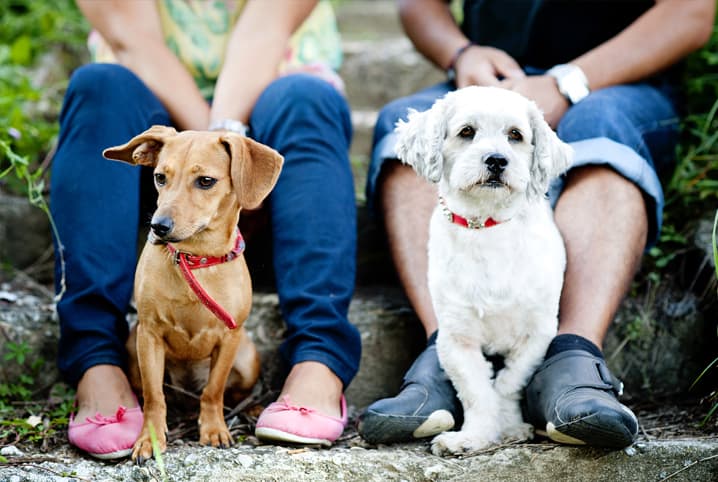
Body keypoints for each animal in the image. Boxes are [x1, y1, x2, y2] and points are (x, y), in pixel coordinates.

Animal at [104, 126, 284, 462]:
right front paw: (149, 438)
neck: (195, 258)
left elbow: (213, 391)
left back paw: (252, 407)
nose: (158, 226)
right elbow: (154, 396)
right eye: (160, 177)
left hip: (247, 359)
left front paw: (213, 429)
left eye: (206, 181)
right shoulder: (149, 336)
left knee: (229, 392)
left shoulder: (229, 338)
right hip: (132, 349)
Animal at [394, 84, 572, 454]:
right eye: (466, 132)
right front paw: (473, 436)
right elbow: (476, 391)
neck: (487, 227)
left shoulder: (537, 333)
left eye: (515, 135)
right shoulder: (456, 338)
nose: (496, 160)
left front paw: (510, 427)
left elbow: (507, 383)